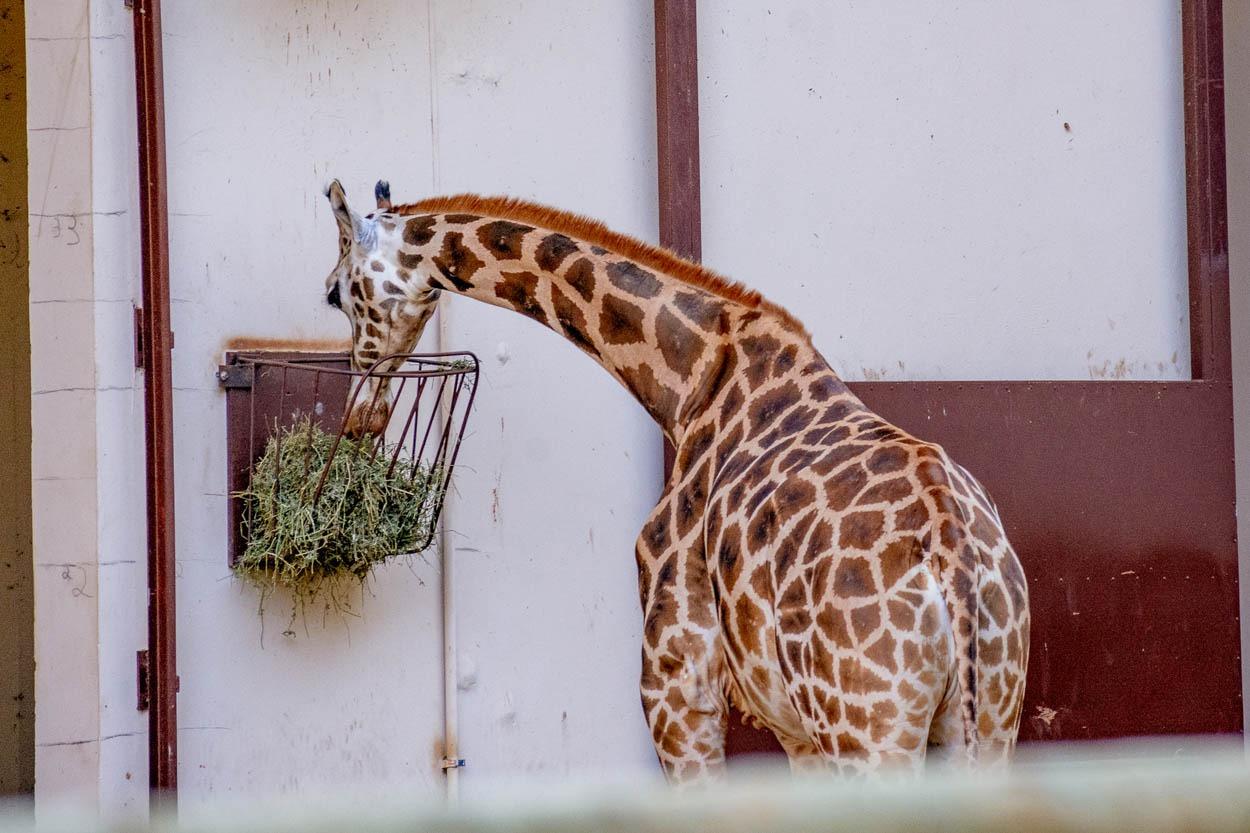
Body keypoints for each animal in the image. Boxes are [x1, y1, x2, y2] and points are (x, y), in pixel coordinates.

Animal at [327, 180, 1030, 780]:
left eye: (333, 293)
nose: (359, 420)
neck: (690, 380)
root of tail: (953, 560)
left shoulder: (675, 684)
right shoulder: (792, 725)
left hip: (869, 729)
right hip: (985, 719)